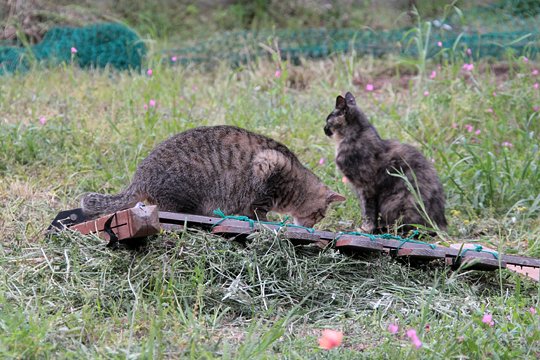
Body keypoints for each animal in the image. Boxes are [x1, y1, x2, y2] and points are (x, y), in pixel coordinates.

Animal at [324, 92, 448, 233]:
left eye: (328, 120)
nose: (324, 128)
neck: (354, 137)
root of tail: (441, 223)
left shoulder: (366, 187)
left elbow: (368, 210)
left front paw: (365, 228)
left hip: (397, 201)